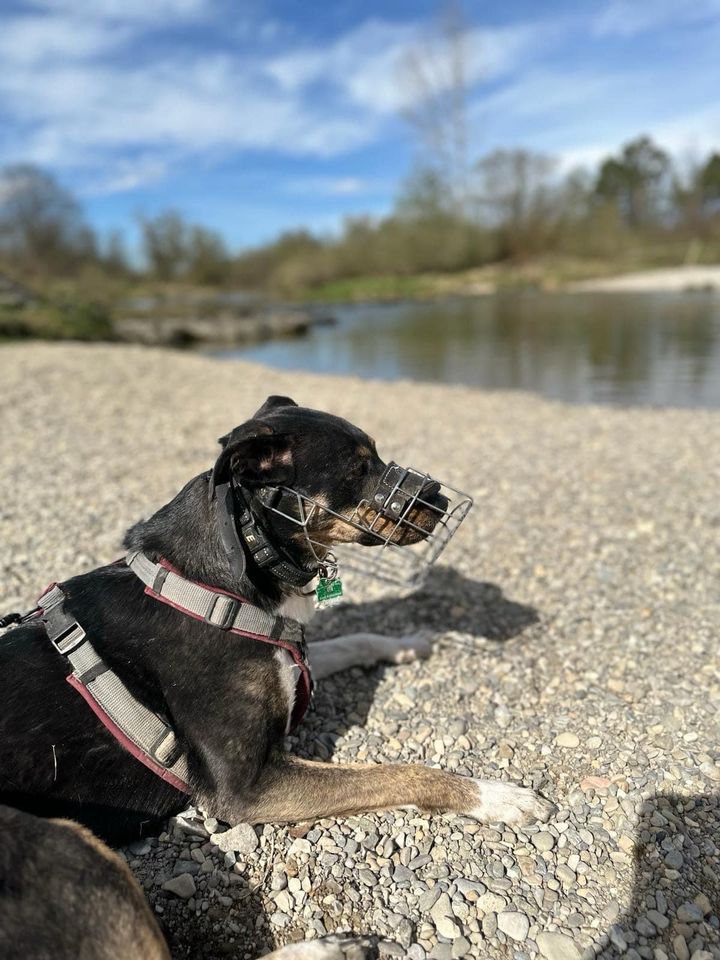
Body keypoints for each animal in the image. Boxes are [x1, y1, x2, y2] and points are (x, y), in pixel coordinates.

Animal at [0, 394, 552, 844]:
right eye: (360, 468)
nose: (439, 499)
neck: (224, 577)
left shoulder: (290, 660)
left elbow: (351, 640)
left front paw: (410, 641)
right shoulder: (247, 786)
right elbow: (398, 772)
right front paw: (494, 796)